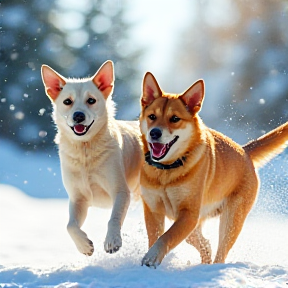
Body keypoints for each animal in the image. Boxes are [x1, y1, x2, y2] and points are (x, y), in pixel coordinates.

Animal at [40, 60, 143, 254]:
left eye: (91, 100)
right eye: (67, 101)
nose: (78, 116)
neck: (85, 151)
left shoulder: (120, 191)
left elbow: (114, 218)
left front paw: (112, 240)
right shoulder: (78, 198)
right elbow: (70, 226)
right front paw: (84, 245)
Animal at [138, 72, 286, 268]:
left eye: (175, 118)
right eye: (152, 116)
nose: (154, 133)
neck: (167, 171)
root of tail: (244, 151)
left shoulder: (189, 214)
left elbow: (166, 237)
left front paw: (151, 258)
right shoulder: (153, 209)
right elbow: (155, 236)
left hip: (231, 219)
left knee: (220, 252)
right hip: (196, 224)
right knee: (204, 244)